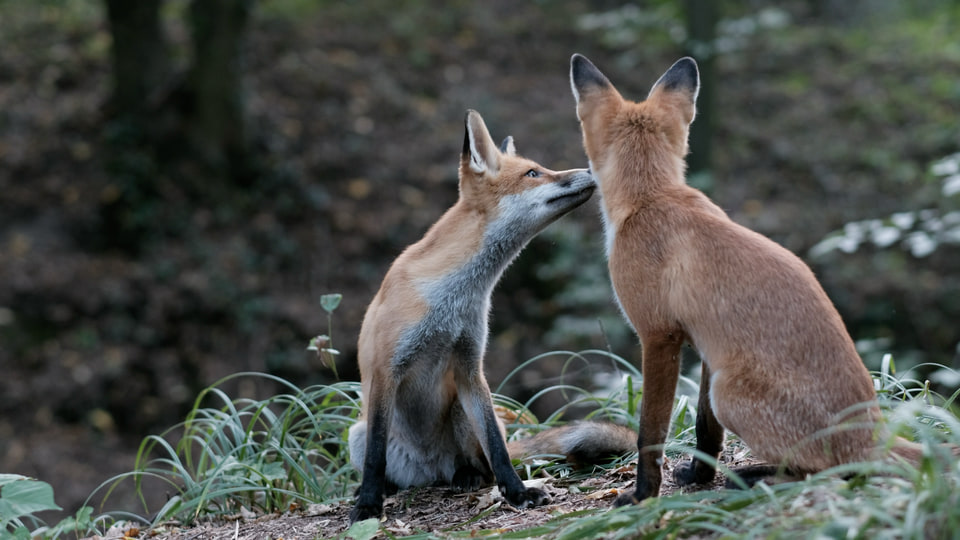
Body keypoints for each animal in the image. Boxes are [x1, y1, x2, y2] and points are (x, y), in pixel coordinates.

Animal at [347, 109, 633, 523]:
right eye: (533, 172)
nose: (591, 170)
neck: (453, 298)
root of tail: (428, 472)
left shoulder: (470, 367)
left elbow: (498, 449)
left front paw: (518, 493)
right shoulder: (386, 369)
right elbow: (374, 456)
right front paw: (368, 504)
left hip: (461, 413)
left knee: (481, 463)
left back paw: (466, 476)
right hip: (356, 431)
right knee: (382, 460)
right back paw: (386, 488)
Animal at [568, 53, 923, 506]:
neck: (653, 197)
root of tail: (870, 434)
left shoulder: (659, 336)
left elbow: (650, 433)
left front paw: (643, 494)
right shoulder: (704, 345)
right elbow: (705, 429)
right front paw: (699, 475)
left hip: (730, 393)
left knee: (831, 472)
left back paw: (758, 478)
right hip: (722, 382)